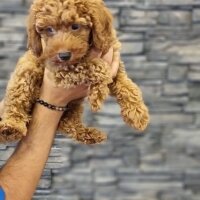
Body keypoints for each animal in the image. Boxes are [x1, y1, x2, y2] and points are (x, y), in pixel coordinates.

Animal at [0, 0, 149, 144]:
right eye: (49, 29)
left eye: (75, 26)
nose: (64, 56)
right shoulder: (59, 69)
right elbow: (96, 66)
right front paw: (98, 94)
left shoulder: (116, 65)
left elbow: (128, 87)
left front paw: (137, 114)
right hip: (25, 74)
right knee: (15, 104)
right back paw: (11, 128)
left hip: (74, 105)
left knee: (67, 123)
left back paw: (90, 134)